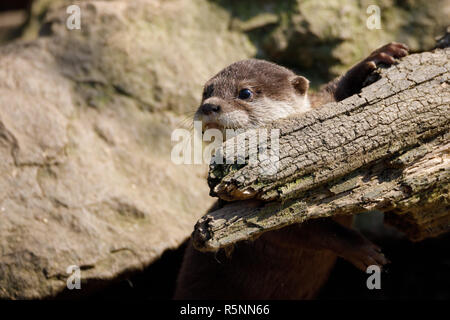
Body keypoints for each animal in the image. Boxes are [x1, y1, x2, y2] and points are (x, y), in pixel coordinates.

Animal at [174, 42, 410, 300]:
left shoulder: (321, 104)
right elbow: (302, 231)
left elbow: (334, 91)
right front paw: (360, 249)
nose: (209, 106)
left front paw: (379, 55)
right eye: (206, 92)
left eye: (245, 92)